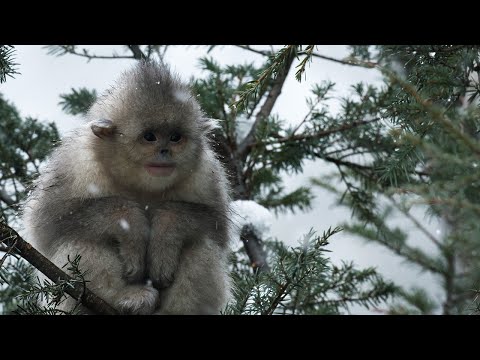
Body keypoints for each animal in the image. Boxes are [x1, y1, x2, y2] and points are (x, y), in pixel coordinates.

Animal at [22, 62, 232, 316]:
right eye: (150, 137)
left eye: (175, 137)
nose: (165, 152)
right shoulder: (75, 164)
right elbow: (46, 224)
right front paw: (130, 224)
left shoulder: (206, 174)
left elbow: (217, 227)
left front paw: (165, 230)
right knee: (81, 239)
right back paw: (126, 299)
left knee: (201, 244)